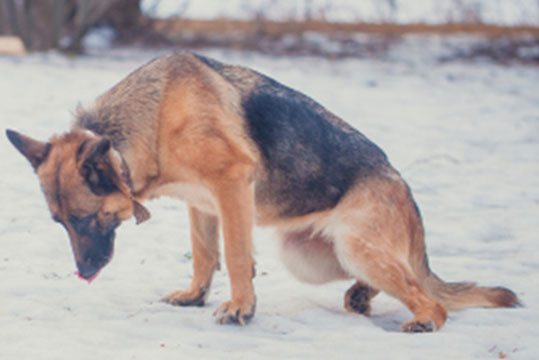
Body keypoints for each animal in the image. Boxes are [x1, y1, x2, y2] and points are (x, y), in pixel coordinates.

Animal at [5, 52, 520, 330]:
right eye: (59, 223)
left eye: (86, 220)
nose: (83, 273)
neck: (152, 118)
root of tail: (404, 188)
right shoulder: (201, 204)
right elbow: (204, 254)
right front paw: (196, 295)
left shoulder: (231, 184)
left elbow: (234, 254)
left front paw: (241, 307)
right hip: (312, 257)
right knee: (399, 279)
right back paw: (361, 296)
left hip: (355, 245)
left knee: (427, 295)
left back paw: (425, 318)